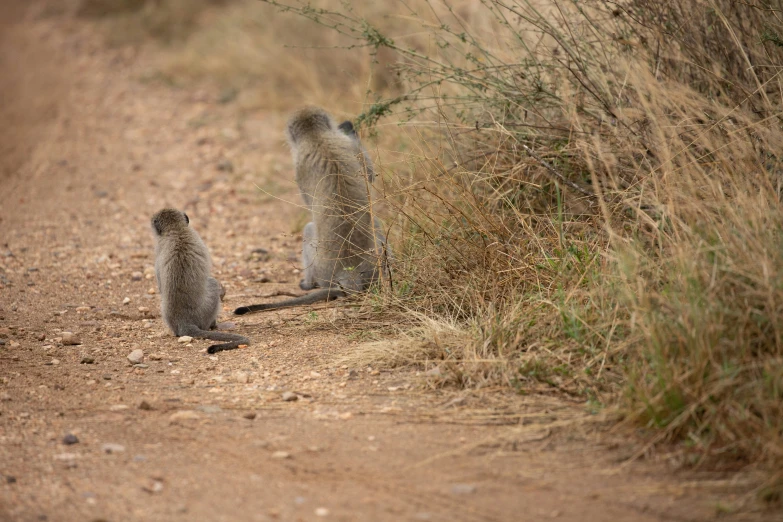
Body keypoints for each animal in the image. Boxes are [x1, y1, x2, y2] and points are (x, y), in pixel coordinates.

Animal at [233, 105, 392, 312]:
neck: (316, 137)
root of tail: (350, 272)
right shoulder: (349, 146)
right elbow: (369, 174)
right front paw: (348, 128)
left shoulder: (299, 165)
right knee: (377, 225)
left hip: (321, 268)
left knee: (308, 229)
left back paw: (308, 284)